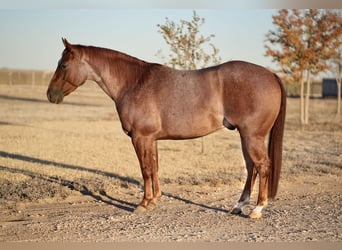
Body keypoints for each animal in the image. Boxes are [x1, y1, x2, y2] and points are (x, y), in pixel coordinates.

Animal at [46, 39, 286, 219]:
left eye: (64, 65)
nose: (50, 95)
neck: (134, 83)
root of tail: (271, 75)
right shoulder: (151, 139)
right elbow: (154, 167)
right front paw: (154, 200)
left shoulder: (140, 138)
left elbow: (145, 169)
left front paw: (143, 203)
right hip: (245, 136)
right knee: (251, 168)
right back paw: (238, 206)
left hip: (252, 136)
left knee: (262, 166)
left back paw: (257, 210)